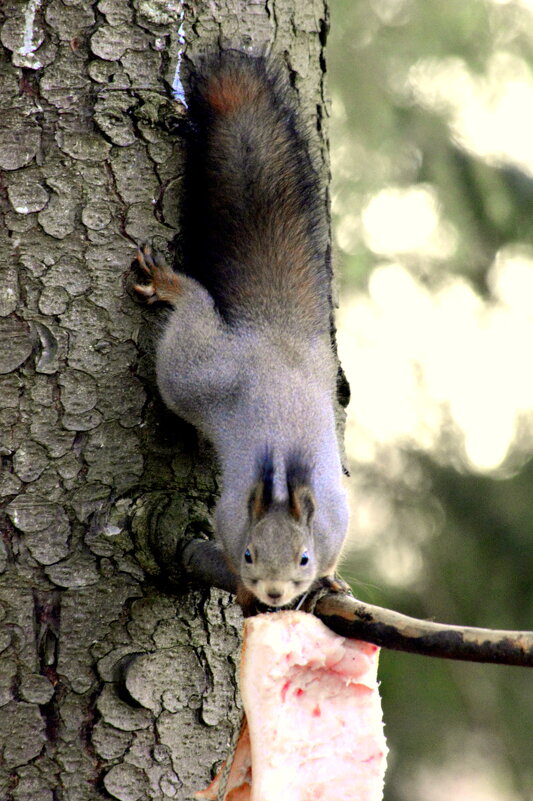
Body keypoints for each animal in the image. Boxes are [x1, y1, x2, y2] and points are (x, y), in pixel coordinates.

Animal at [133, 50, 350, 608]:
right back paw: (171, 284)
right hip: (193, 373)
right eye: (250, 555)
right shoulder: (230, 519)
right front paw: (242, 590)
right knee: (193, 310)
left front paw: (330, 581)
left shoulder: (336, 523)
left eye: (304, 557)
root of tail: (275, 338)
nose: (273, 593)